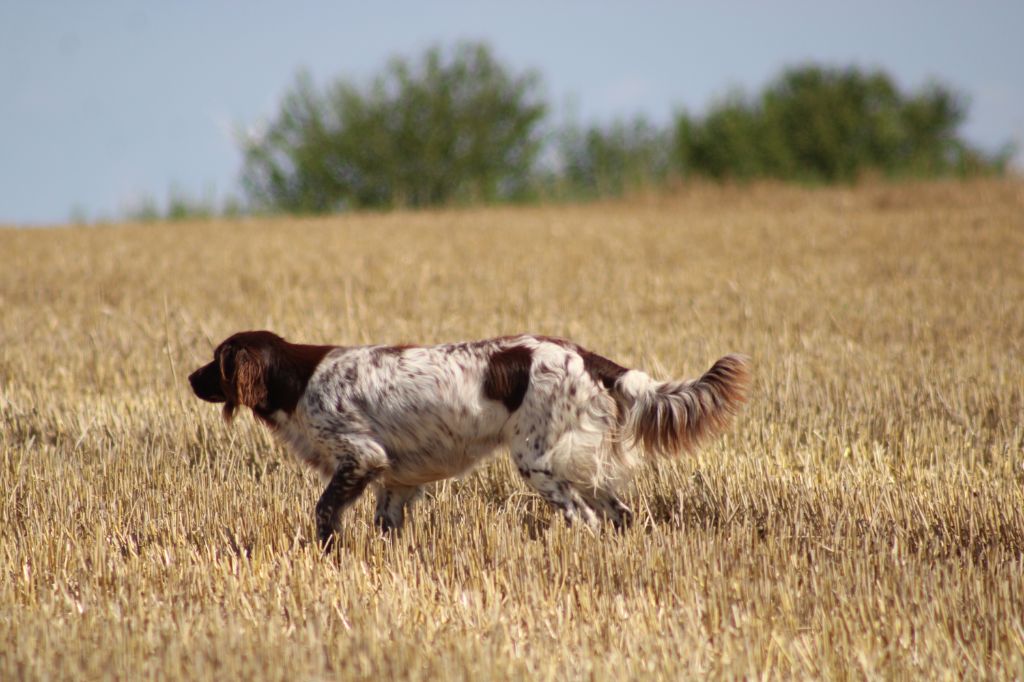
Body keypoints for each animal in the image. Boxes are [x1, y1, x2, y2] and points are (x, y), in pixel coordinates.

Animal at [190, 329, 753, 540]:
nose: (190, 378)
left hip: (539, 461)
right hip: (578, 460)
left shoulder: (362, 456)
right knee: (618, 512)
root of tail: (580, 354)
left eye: (216, 360)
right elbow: (387, 525)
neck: (299, 379)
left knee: (586, 517)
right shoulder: (397, 479)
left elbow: (325, 511)